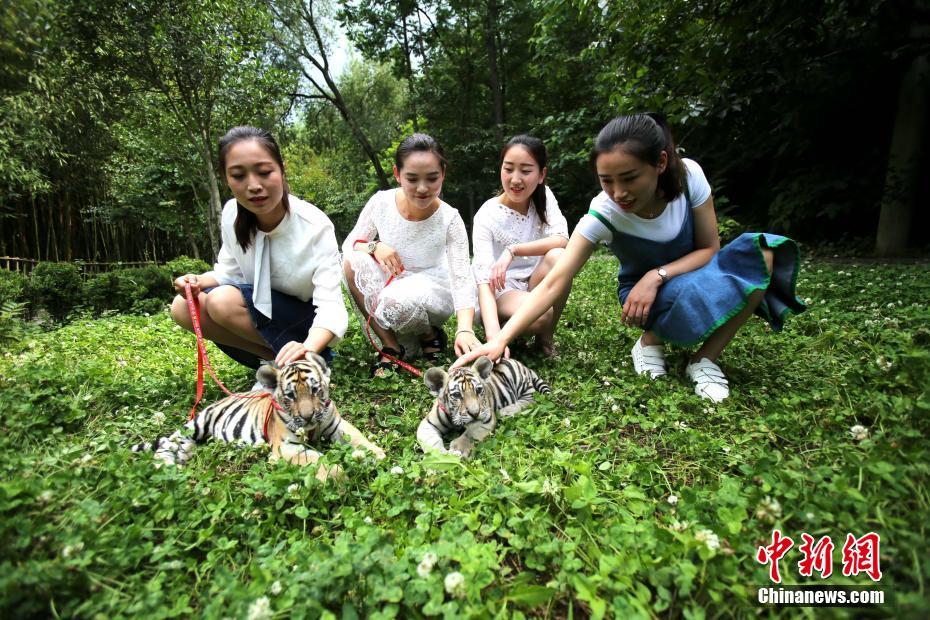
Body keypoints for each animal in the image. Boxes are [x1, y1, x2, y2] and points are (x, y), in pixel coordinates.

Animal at [132, 354, 385, 481]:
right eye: (290, 396)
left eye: (315, 390)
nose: (308, 416)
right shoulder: (285, 447)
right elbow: (314, 459)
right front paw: (337, 476)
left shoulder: (335, 424)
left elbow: (357, 438)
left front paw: (376, 454)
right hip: (197, 423)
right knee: (168, 442)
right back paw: (167, 464)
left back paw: (186, 454)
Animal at [416, 356, 550, 458]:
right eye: (457, 395)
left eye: (479, 390)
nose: (475, 413)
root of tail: (523, 365)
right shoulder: (427, 424)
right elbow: (431, 441)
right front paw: (439, 460)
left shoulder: (486, 418)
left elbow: (470, 433)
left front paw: (459, 449)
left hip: (520, 382)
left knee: (530, 399)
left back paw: (506, 411)